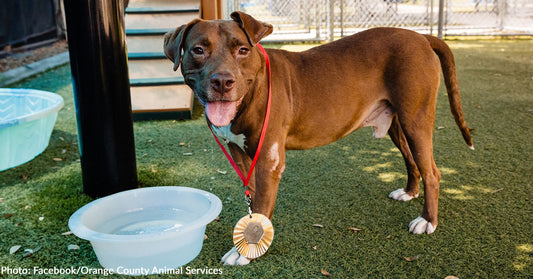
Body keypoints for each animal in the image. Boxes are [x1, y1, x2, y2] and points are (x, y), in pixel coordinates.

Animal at [164, 12, 472, 266]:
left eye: (242, 50)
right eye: (198, 50)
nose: (222, 81)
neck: (253, 91)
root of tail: (421, 36)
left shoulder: (268, 161)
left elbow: (261, 204)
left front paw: (245, 253)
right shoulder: (239, 154)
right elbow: (254, 203)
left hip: (416, 120)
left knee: (432, 171)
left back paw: (427, 221)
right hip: (398, 124)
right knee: (412, 160)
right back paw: (409, 192)